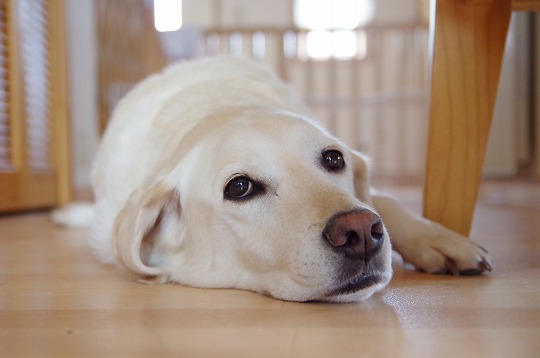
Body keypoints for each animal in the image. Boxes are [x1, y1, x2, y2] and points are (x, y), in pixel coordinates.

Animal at [53, 56, 490, 302]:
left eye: (334, 159)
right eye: (239, 187)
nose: (362, 231)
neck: (218, 110)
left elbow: (387, 200)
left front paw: (437, 238)